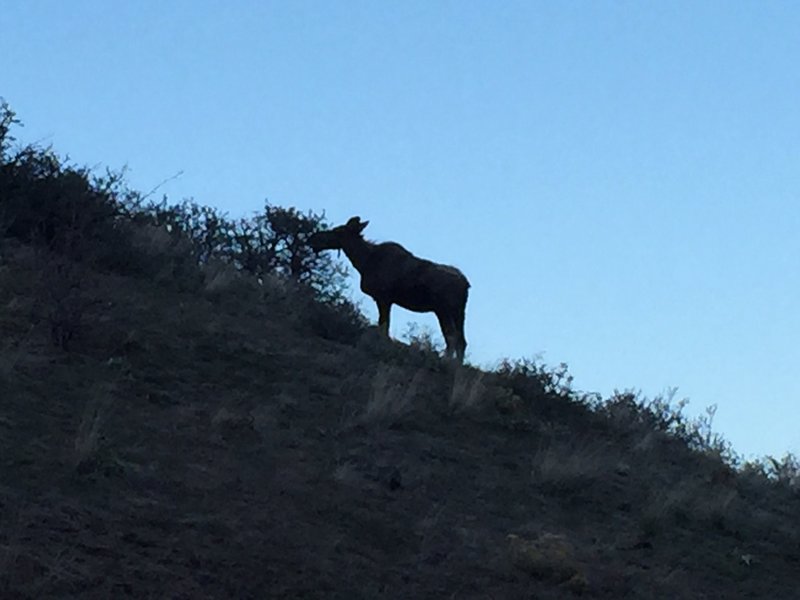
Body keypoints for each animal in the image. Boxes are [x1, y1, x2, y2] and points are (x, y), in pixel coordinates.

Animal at [306, 218, 468, 364]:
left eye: (337, 231)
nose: (313, 238)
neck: (363, 262)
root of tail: (466, 284)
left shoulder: (383, 298)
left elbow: (384, 326)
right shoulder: (385, 299)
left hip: (444, 310)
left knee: (452, 337)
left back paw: (447, 362)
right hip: (456, 312)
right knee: (461, 340)